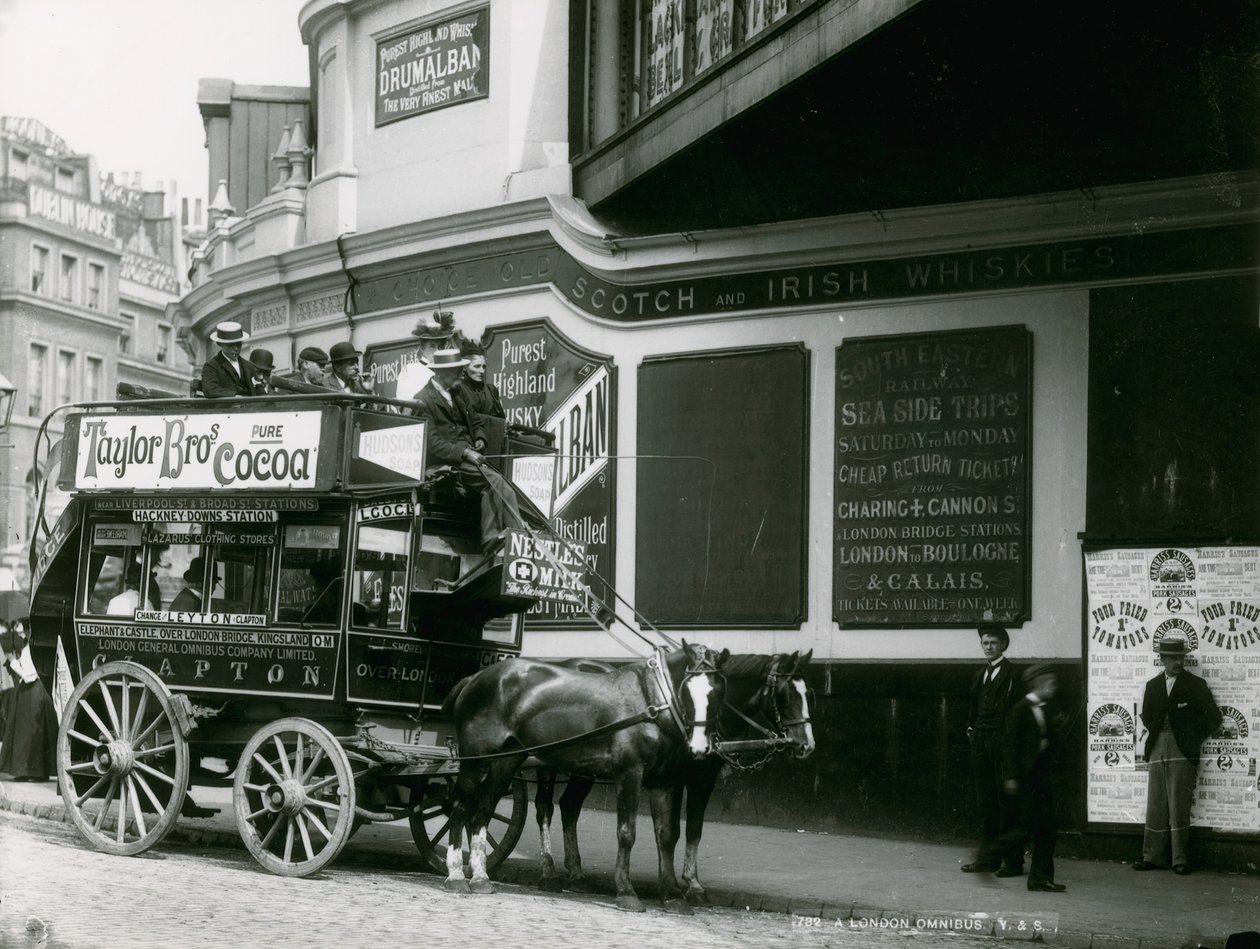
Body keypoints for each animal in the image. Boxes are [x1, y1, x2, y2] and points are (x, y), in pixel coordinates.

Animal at [438, 637, 725, 912]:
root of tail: (475, 678)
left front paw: (673, 895)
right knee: (461, 807)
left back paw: (480, 877)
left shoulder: (664, 782)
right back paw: (456, 875)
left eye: (717, 691)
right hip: (476, 762)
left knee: (483, 810)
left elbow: (667, 835)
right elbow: (627, 832)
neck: (651, 700)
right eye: (688, 688)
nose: (701, 746)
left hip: (506, 761)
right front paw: (626, 892)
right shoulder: (630, 772)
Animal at [529, 650, 811, 902]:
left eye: (809, 694)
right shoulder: (684, 779)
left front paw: (679, 884)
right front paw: (688, 885)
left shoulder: (696, 779)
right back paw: (548, 872)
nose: (806, 745)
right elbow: (678, 829)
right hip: (547, 762)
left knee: (569, 806)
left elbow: (682, 831)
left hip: (584, 769)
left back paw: (576, 874)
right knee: (545, 807)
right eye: (785, 695)